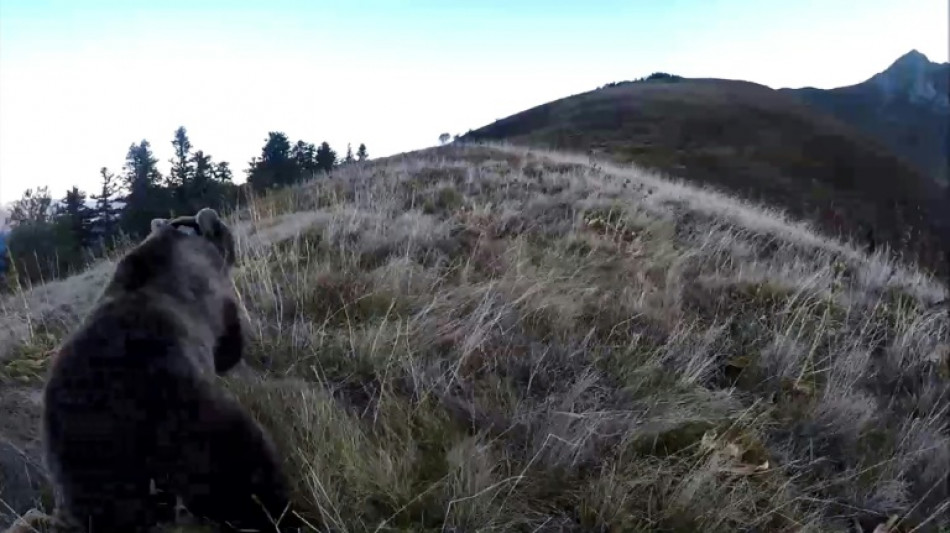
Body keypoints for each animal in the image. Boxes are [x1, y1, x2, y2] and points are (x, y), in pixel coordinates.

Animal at [40, 210, 302, 528]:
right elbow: (229, 341)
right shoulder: (214, 300)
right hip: (190, 423)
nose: (231, 240)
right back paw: (282, 513)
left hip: (83, 467)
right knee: (245, 471)